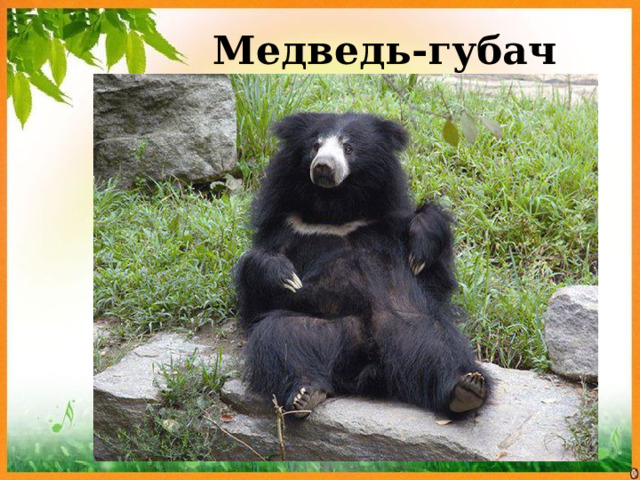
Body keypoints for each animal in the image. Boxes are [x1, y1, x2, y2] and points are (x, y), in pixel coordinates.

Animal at [234, 112, 487, 420]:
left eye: (348, 148)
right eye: (315, 146)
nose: (323, 167)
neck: (335, 209)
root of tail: (367, 364)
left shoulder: (388, 223)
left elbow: (435, 276)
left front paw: (421, 248)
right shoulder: (286, 229)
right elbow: (256, 296)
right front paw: (285, 276)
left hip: (410, 328)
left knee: (440, 347)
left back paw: (466, 387)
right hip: (323, 330)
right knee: (279, 338)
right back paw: (305, 394)